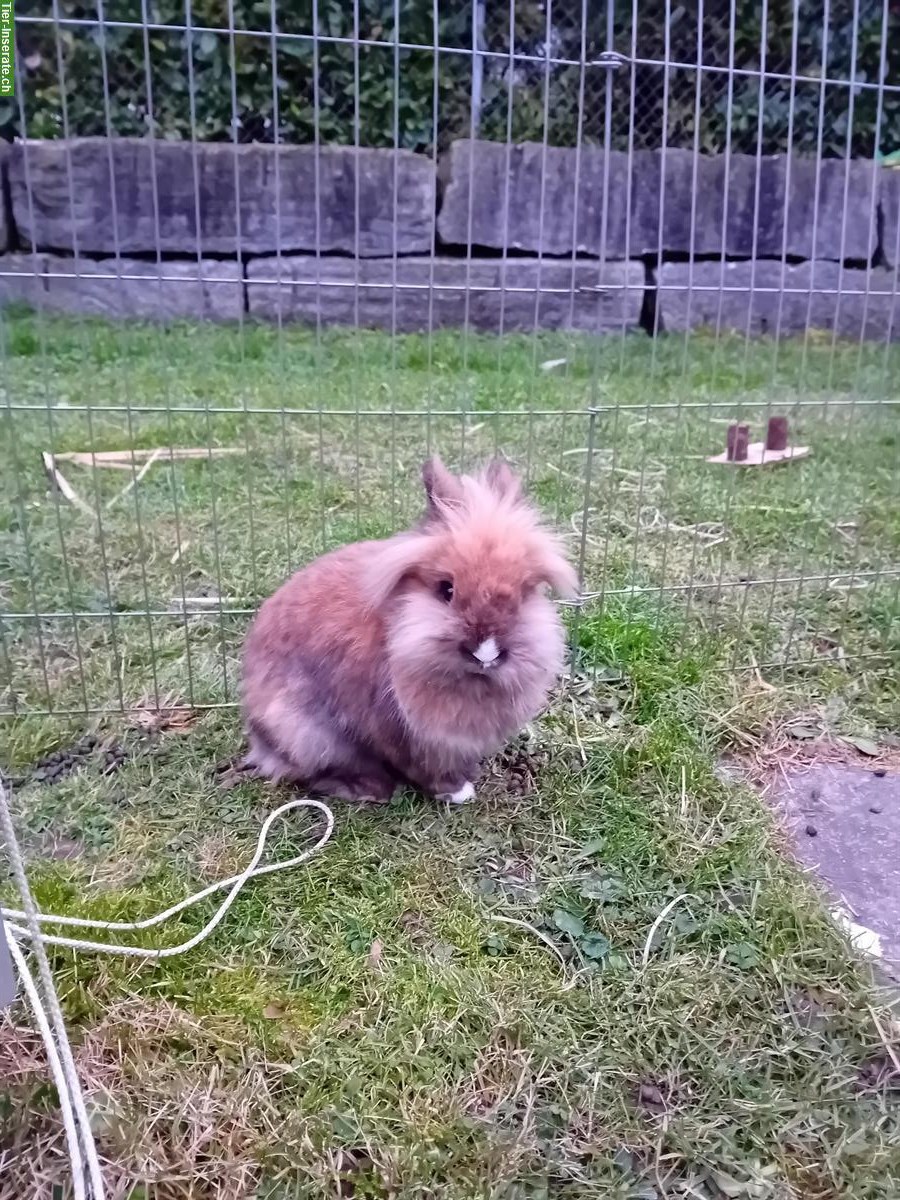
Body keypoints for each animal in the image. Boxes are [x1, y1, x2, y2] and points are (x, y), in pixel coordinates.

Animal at [240, 456, 578, 806]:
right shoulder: (401, 730)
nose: (486, 653)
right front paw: (457, 792)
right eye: (447, 590)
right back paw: (371, 789)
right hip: (308, 734)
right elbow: (422, 766)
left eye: (523, 595)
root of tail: (258, 739)